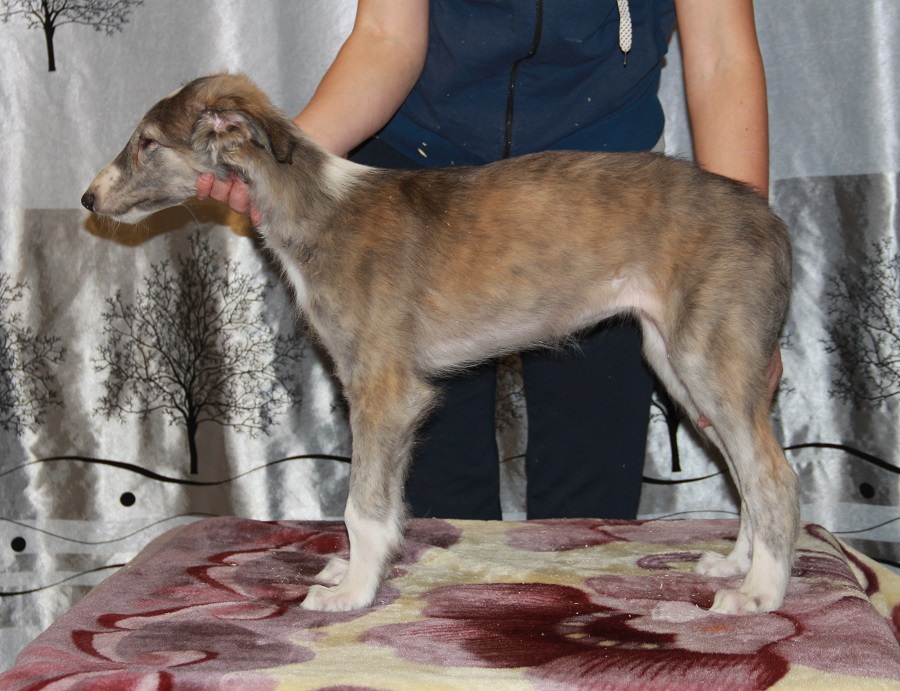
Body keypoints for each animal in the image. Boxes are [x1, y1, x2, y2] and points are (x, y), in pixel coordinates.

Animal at [82, 73, 798, 615]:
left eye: (146, 142)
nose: (87, 197)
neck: (316, 208)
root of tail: (769, 218)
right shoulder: (392, 394)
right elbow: (387, 504)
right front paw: (359, 572)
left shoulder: (382, 387)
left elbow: (362, 506)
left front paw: (351, 593)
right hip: (680, 364)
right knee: (746, 475)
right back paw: (736, 565)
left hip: (709, 358)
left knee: (774, 477)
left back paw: (760, 593)